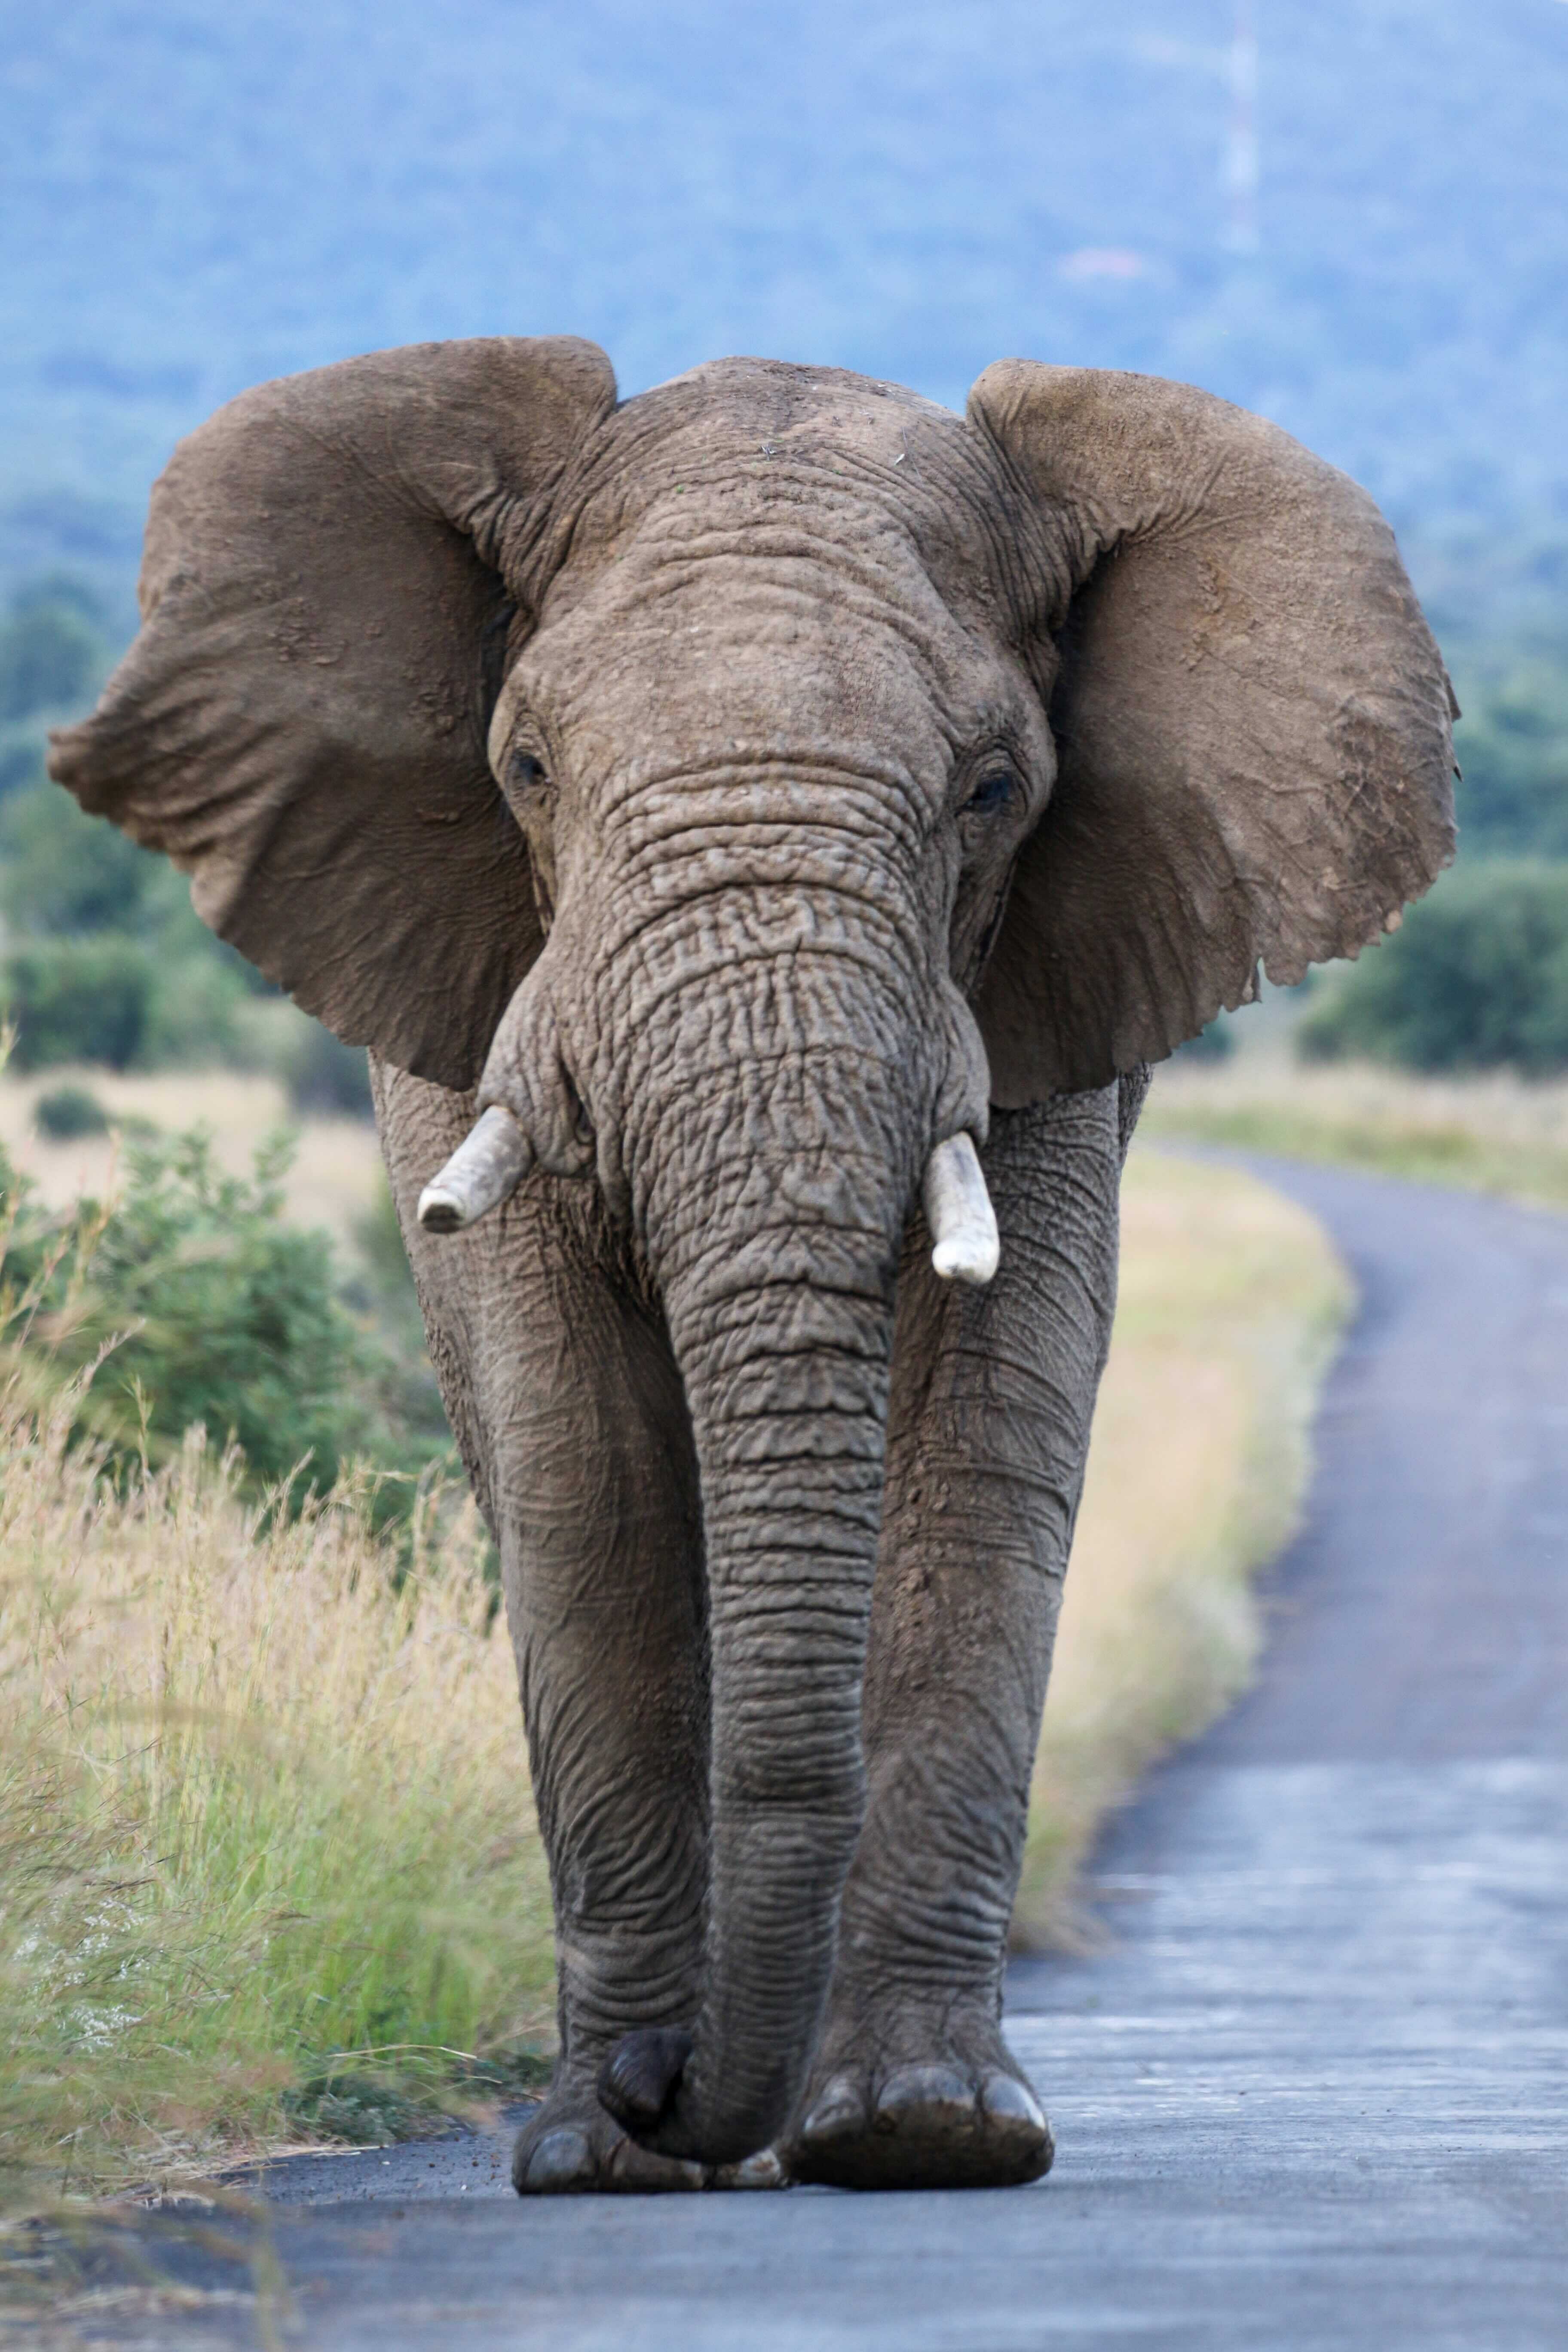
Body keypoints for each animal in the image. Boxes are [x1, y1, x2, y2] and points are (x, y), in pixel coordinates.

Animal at [49, 339, 1455, 2194]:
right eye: (526, 770)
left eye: (993, 790)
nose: (671, 2088)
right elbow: (584, 1462)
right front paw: (598, 2149)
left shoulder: (1041, 1014)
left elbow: (988, 1439)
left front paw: (925, 2132)